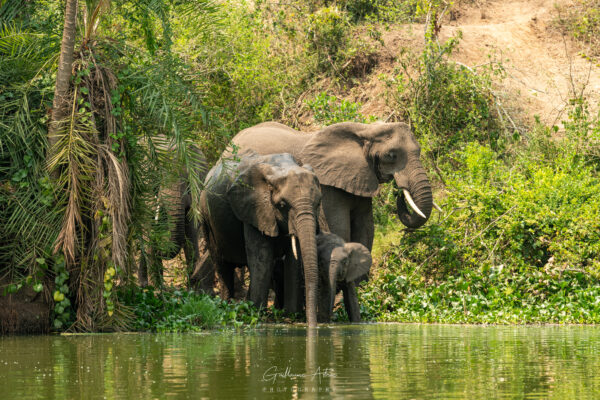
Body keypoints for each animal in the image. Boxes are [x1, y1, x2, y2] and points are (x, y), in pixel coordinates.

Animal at [200, 152, 324, 326]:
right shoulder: (254, 209)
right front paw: (257, 314)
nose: (312, 325)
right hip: (205, 216)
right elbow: (262, 259)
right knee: (222, 265)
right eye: (282, 205)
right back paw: (227, 306)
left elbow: (293, 260)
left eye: (318, 203)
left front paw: (292, 314)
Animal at [227, 122, 434, 322]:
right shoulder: (329, 187)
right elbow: (341, 228)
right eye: (391, 155)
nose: (399, 192)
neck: (366, 129)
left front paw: (362, 289)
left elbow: (366, 229)